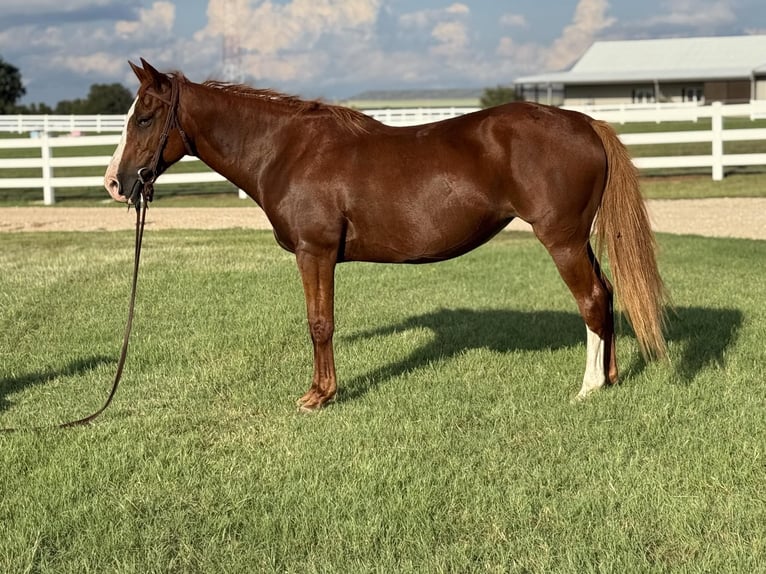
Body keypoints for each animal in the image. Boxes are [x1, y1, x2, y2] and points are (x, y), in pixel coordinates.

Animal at [105, 59, 668, 411]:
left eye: (146, 117)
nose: (115, 183)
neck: (287, 150)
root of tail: (585, 122)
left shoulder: (315, 253)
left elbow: (320, 324)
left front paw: (319, 396)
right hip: (578, 240)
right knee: (607, 295)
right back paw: (610, 379)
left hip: (562, 240)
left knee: (591, 300)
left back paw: (588, 389)